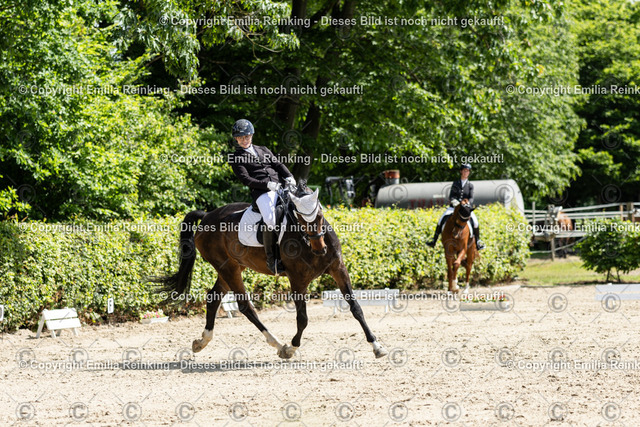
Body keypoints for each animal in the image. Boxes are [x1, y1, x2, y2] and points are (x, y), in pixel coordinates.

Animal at [151, 183, 388, 360]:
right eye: (299, 218)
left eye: (320, 214)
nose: (320, 249)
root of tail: (207, 216)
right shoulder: (298, 280)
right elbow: (303, 318)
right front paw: (291, 348)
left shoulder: (339, 270)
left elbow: (356, 308)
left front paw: (377, 346)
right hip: (228, 268)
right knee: (245, 306)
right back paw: (277, 344)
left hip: (231, 267)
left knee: (213, 297)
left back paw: (202, 341)